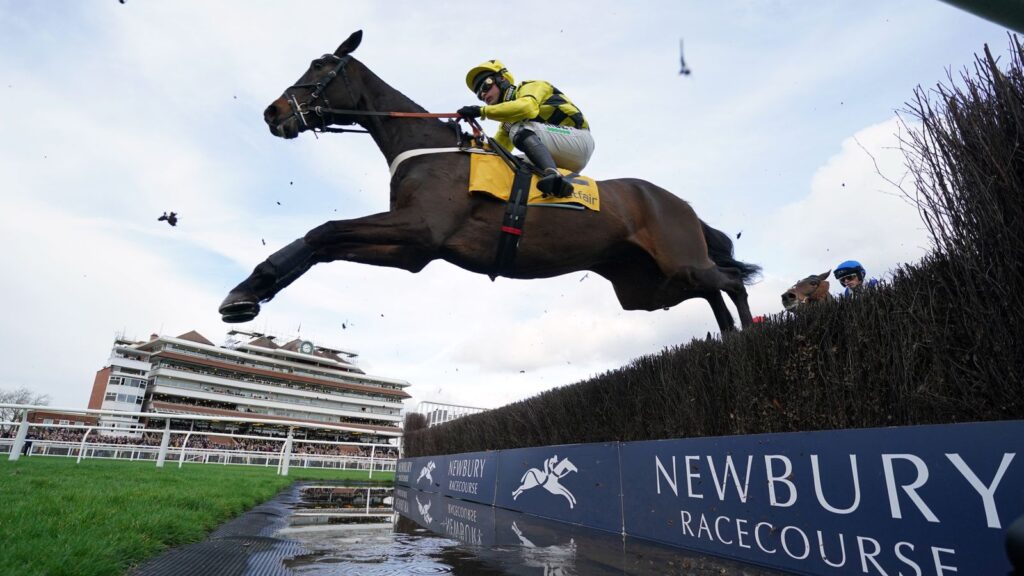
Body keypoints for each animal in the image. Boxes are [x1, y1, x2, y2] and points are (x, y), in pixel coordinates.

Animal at [218, 30, 761, 332]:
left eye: (320, 66)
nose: (274, 112)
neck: (426, 146)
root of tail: (681, 204)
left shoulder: (420, 227)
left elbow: (323, 231)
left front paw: (250, 286)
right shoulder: (414, 249)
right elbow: (325, 244)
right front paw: (248, 293)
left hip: (677, 261)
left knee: (731, 282)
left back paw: (750, 337)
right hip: (646, 287)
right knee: (711, 292)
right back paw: (728, 340)